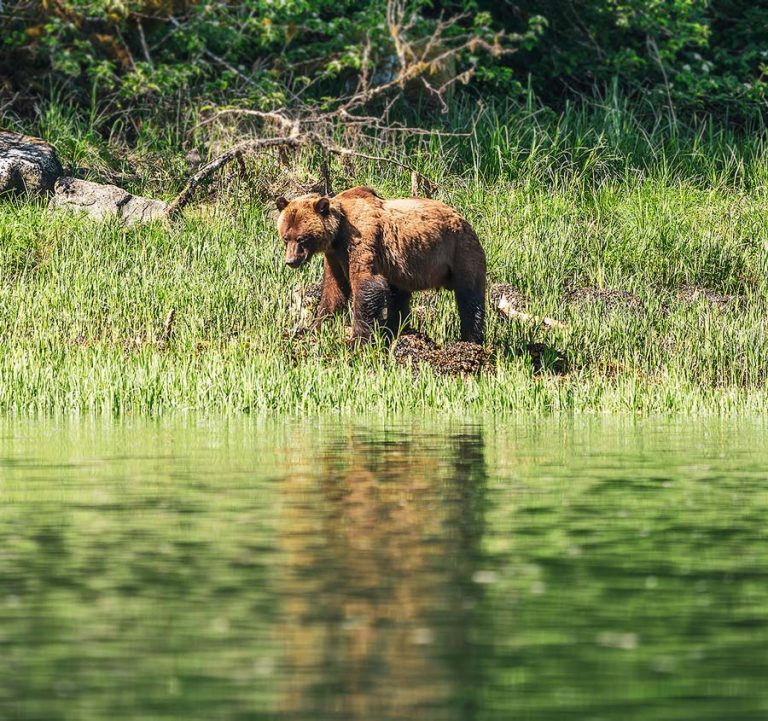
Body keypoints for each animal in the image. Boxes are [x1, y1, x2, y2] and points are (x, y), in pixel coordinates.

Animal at [275, 186, 486, 343]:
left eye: (302, 239)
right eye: (286, 238)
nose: (291, 261)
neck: (338, 232)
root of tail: (464, 219)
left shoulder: (361, 240)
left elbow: (366, 284)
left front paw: (358, 339)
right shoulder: (335, 256)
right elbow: (334, 291)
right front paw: (314, 328)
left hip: (460, 251)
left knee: (470, 298)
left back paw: (471, 339)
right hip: (403, 270)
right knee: (398, 298)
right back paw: (397, 331)